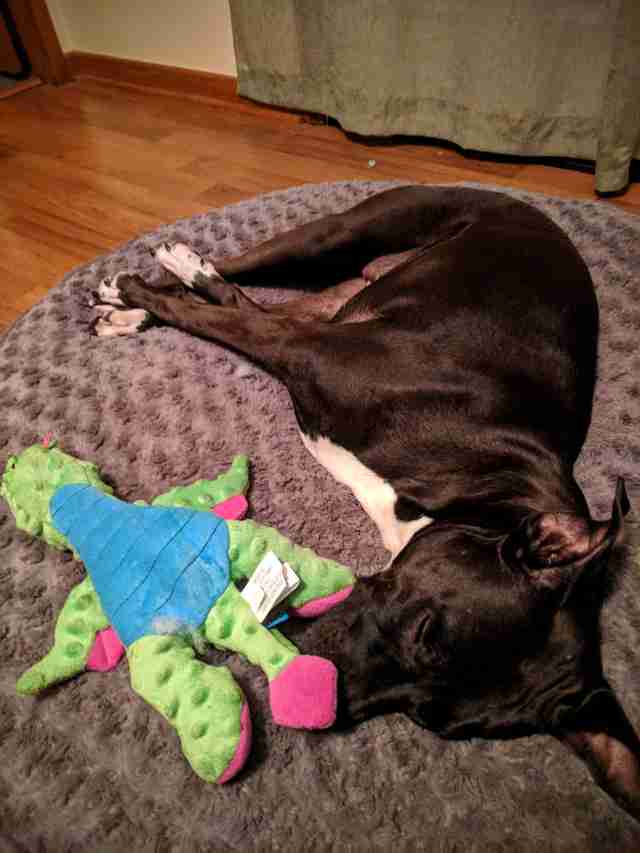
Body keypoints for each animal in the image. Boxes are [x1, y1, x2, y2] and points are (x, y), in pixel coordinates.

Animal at [96, 185, 640, 820]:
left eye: (429, 718)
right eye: (427, 630)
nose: (323, 704)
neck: (484, 479)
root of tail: (530, 209)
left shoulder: (306, 343)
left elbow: (236, 314)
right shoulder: (305, 349)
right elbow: (222, 315)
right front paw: (149, 293)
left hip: (331, 297)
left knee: (254, 299)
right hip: (337, 237)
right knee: (235, 275)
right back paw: (148, 283)